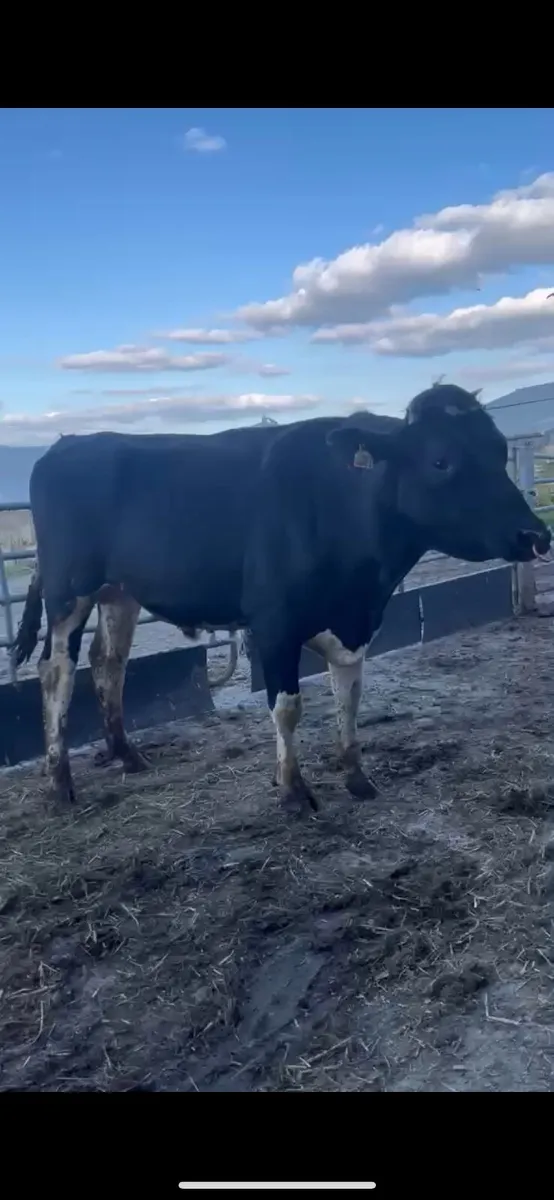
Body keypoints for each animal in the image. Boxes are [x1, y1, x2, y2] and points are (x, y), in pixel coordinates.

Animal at [13, 383, 551, 813]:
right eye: (441, 460)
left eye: (499, 451)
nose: (535, 535)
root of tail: (68, 443)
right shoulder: (274, 623)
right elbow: (288, 706)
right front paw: (293, 789)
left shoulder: (354, 622)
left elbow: (349, 694)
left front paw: (357, 776)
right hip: (68, 590)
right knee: (55, 670)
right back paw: (59, 782)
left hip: (119, 591)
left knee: (109, 662)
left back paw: (127, 754)